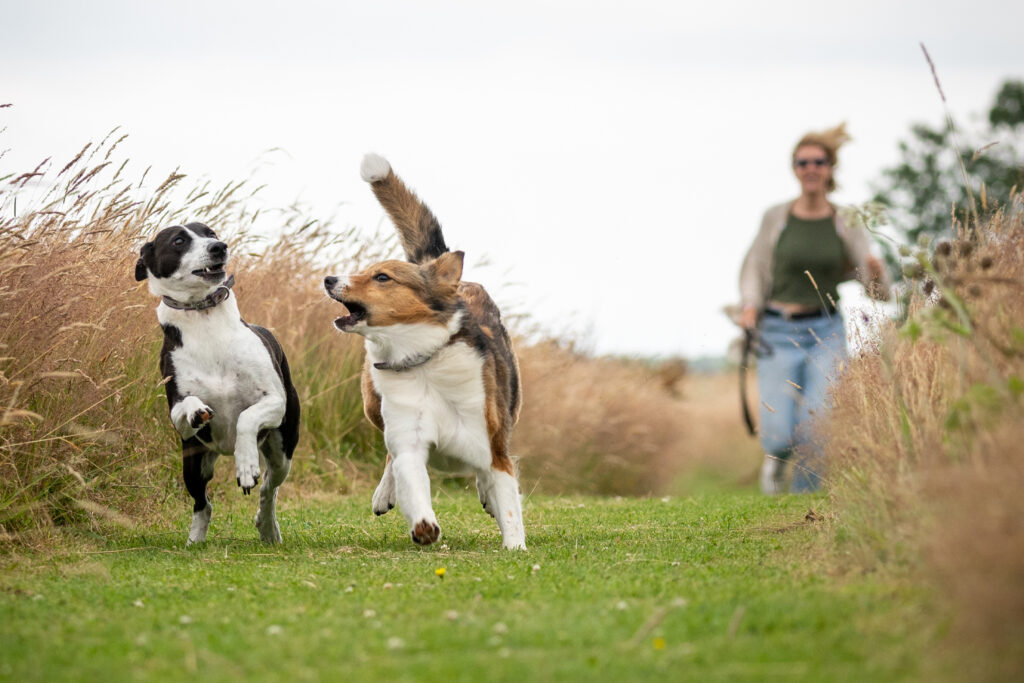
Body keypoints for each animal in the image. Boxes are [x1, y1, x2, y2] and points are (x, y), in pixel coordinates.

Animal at [135, 223, 299, 544]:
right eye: (178, 241)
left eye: (210, 232)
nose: (218, 247)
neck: (204, 316)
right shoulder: (176, 415)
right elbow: (187, 405)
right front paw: (197, 411)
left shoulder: (275, 401)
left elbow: (246, 418)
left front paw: (246, 465)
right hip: (192, 463)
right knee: (203, 503)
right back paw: (195, 539)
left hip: (283, 450)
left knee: (269, 488)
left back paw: (268, 527)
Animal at [323, 153, 524, 548]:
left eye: (382, 277)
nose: (329, 279)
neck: (421, 360)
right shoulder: (410, 439)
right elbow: (411, 479)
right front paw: (423, 525)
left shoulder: (493, 445)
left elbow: (507, 499)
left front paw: (516, 546)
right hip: (373, 407)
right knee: (390, 456)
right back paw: (385, 495)